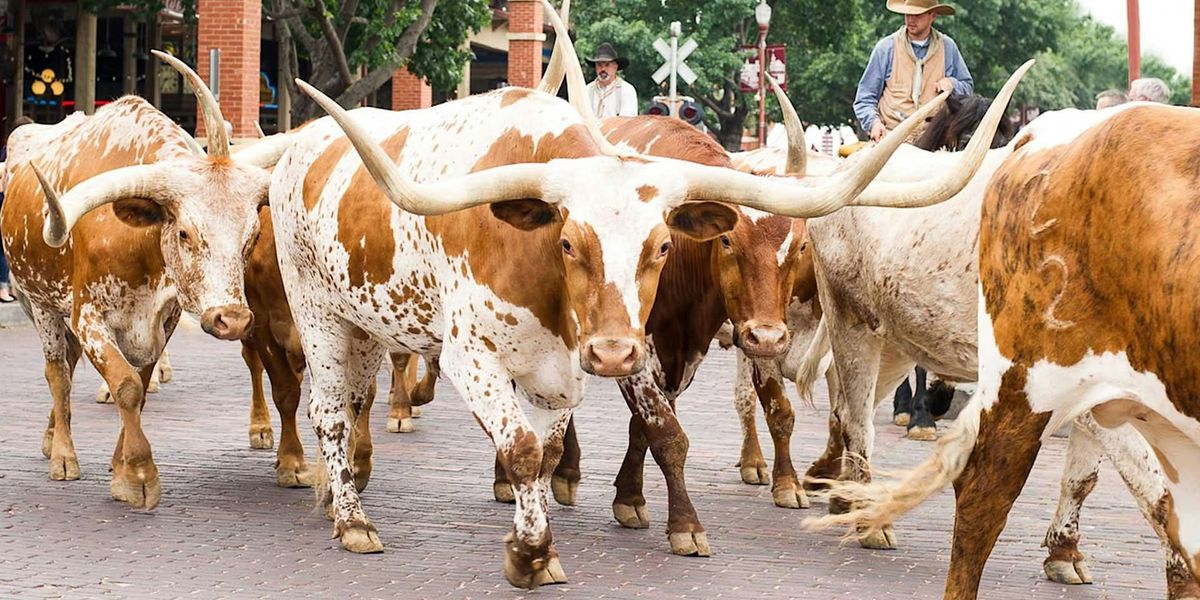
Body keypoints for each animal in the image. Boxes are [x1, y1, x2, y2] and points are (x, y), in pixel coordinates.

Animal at [0, 51, 289, 508]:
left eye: (253, 235)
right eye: (185, 233)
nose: (233, 320)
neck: (139, 245)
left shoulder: (161, 318)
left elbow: (141, 380)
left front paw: (120, 467)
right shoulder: (89, 316)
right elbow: (125, 385)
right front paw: (138, 475)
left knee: (70, 362)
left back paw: (50, 437)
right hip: (40, 302)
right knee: (57, 372)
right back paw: (62, 454)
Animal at [811, 102, 1200, 595]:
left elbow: (1086, 476)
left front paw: (1064, 552)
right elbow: (1155, 488)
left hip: (895, 337)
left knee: (844, 407)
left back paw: (842, 493)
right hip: (849, 320)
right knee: (857, 419)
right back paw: (868, 519)